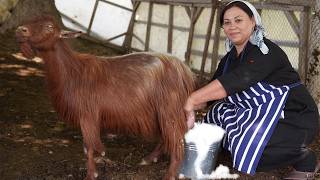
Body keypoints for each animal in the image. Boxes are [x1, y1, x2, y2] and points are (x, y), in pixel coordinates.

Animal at [15, 15, 195, 180]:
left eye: (49, 27)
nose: (20, 30)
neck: (73, 71)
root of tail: (184, 70)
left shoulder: (87, 114)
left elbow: (89, 146)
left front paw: (91, 174)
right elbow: (88, 147)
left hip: (169, 106)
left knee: (177, 141)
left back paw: (169, 174)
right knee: (167, 137)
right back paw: (149, 159)